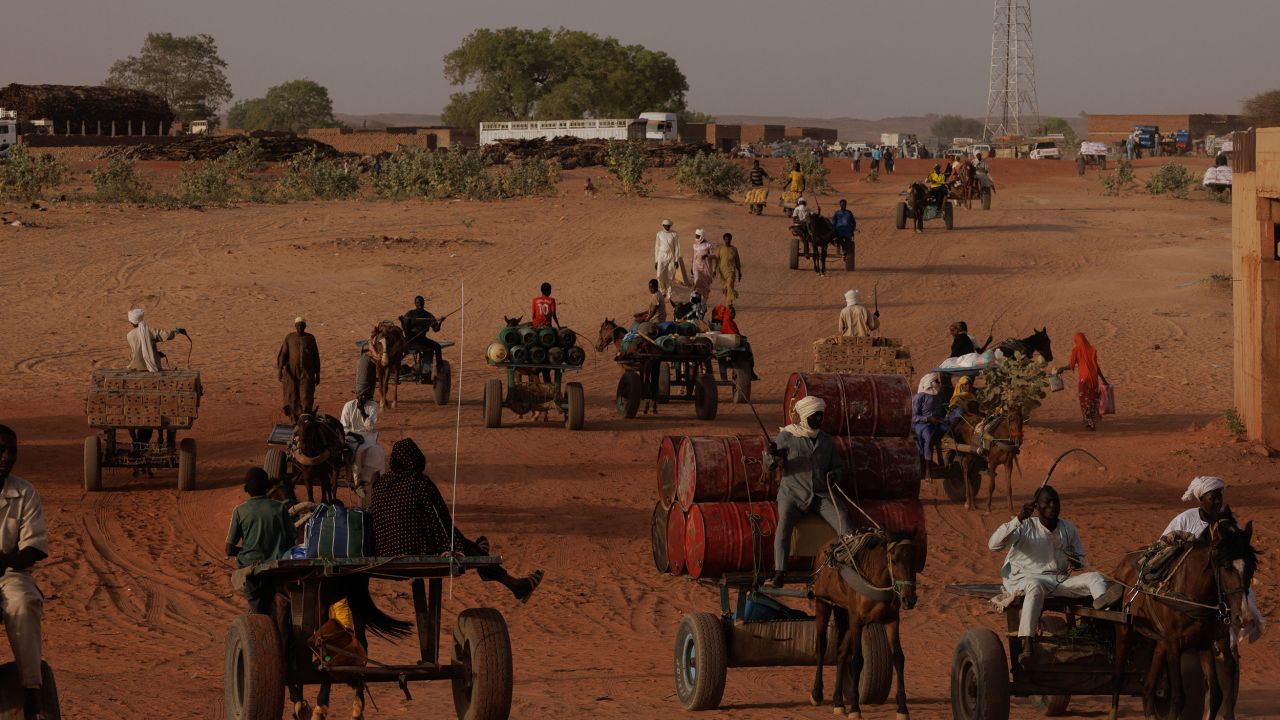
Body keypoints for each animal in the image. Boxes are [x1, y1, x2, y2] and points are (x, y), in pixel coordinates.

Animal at [814, 527, 916, 717]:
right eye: (894, 560)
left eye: (916, 559)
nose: (909, 599)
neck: (875, 580)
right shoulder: (857, 622)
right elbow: (857, 661)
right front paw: (855, 708)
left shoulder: (892, 621)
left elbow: (898, 658)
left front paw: (902, 708)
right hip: (823, 603)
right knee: (822, 647)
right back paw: (817, 693)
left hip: (845, 613)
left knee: (841, 652)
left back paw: (838, 701)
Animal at [1111, 509, 1259, 717]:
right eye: (1226, 566)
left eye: (1252, 567)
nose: (1243, 616)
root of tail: (1123, 563)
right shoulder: (1174, 643)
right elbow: (1178, 697)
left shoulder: (1204, 641)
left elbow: (1215, 694)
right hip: (1124, 629)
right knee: (1118, 676)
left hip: (1159, 640)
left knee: (1148, 687)